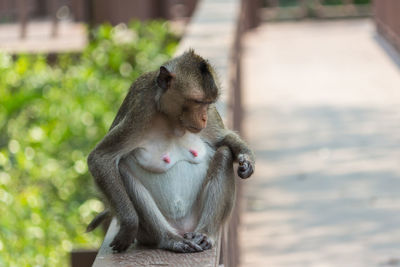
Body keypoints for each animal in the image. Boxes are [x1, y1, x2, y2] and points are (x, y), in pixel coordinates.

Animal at [86, 49, 256, 253]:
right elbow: (101, 158)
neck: (171, 118)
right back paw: (168, 239)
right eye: (197, 102)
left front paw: (247, 160)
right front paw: (128, 225)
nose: (204, 118)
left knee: (223, 154)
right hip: (149, 233)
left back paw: (205, 233)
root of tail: (183, 229)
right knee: (123, 170)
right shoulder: (141, 111)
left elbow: (221, 139)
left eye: (208, 103)